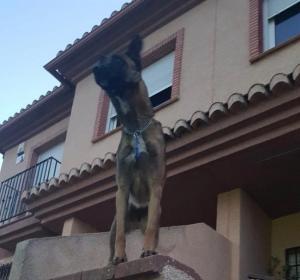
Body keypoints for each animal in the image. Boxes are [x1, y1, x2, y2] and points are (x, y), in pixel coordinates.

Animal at [92, 35, 165, 264]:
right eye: (101, 59)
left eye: (117, 60)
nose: (94, 68)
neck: (136, 128)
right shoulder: (122, 188)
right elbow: (121, 236)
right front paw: (119, 256)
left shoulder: (156, 182)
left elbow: (151, 228)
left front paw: (148, 250)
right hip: (116, 222)